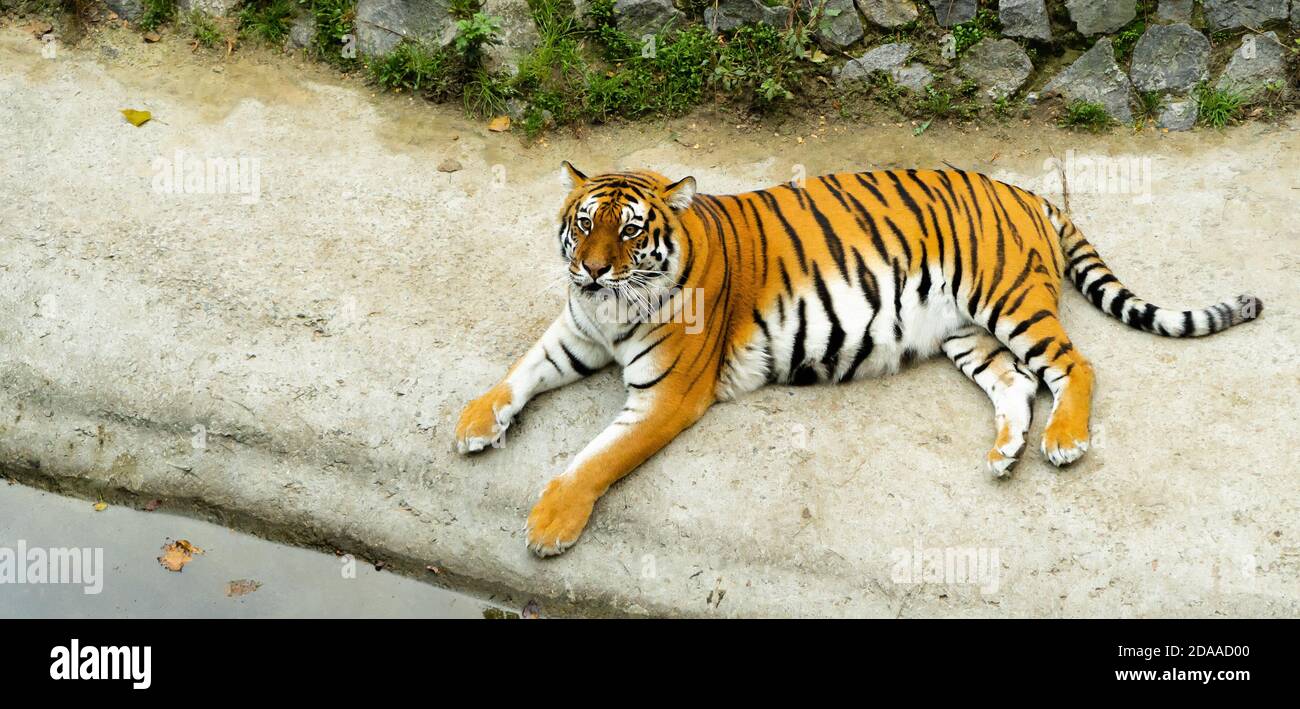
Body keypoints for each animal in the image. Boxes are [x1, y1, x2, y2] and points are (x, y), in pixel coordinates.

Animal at [454, 163, 1258, 556]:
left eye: (628, 232)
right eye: (585, 223)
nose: (590, 271)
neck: (610, 311)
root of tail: (1024, 190)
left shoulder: (666, 395)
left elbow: (595, 459)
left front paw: (549, 524)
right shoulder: (574, 332)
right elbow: (519, 370)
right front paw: (472, 421)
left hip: (1010, 299)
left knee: (1073, 366)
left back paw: (1063, 442)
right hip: (965, 331)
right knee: (1016, 383)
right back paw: (1005, 452)